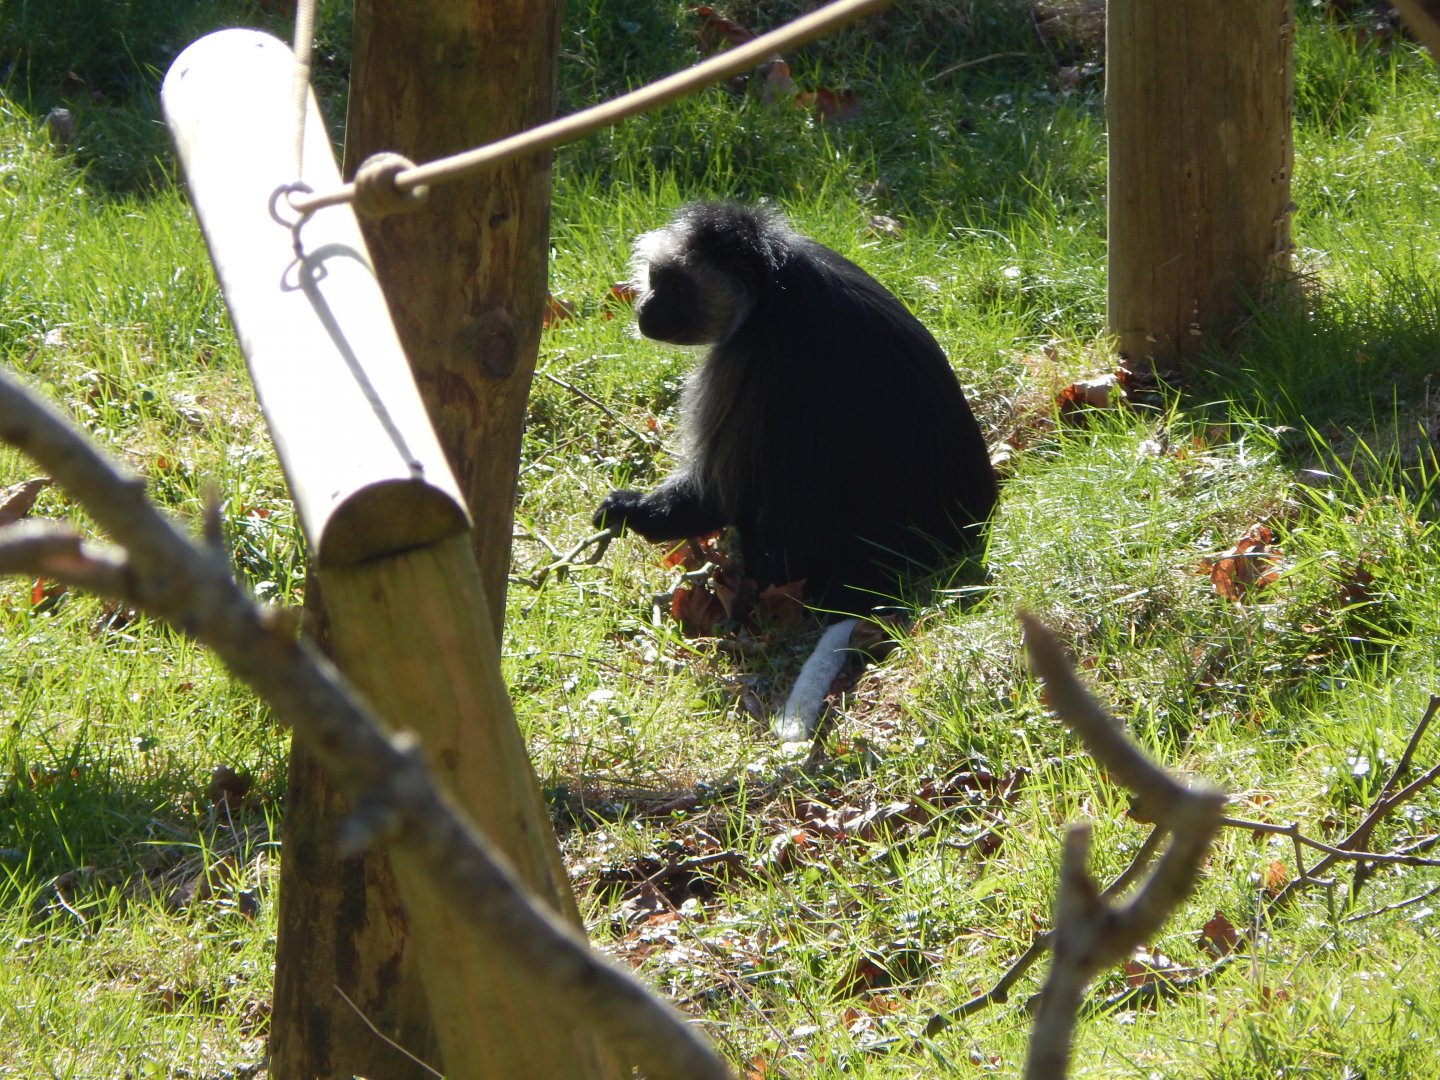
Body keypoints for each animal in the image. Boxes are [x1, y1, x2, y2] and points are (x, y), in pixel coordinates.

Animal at [593, 200, 998, 620]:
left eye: (676, 287)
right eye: (656, 279)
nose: (645, 307)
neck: (775, 286)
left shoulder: (747, 354)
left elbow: (718, 495)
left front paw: (633, 511)